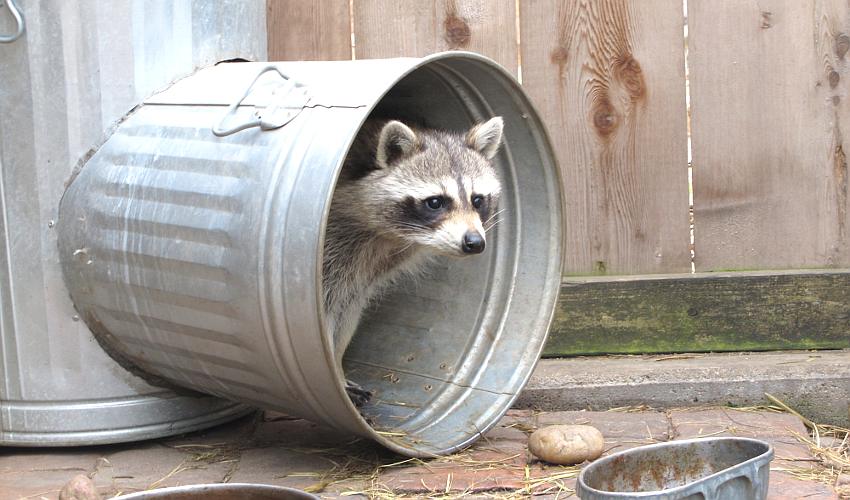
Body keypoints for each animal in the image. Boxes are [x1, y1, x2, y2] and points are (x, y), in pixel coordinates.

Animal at [322, 117, 500, 406]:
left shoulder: (365, 270)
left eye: (477, 200)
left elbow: (348, 310)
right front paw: (332, 376)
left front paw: (336, 366)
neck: (383, 234)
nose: (474, 242)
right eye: (435, 202)